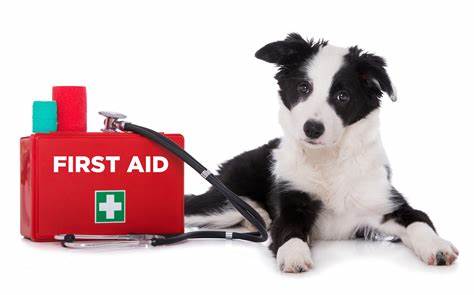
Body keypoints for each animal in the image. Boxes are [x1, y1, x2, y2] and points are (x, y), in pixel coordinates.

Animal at [184, 34, 456, 272]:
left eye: (343, 96)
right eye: (304, 87)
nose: (313, 128)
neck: (328, 160)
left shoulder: (387, 202)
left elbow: (419, 219)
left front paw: (437, 246)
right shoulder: (291, 204)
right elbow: (289, 231)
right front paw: (294, 254)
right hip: (226, 203)